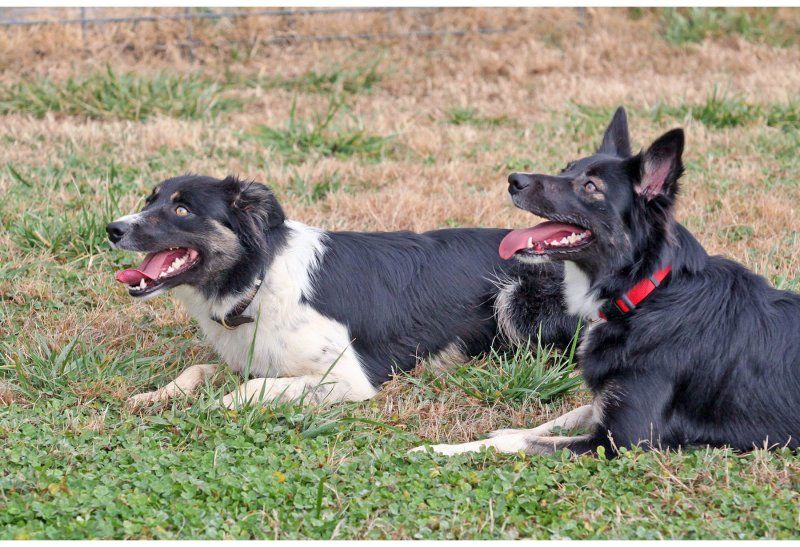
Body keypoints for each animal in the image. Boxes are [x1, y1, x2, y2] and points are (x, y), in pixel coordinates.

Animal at [109, 174, 580, 406]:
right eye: (150, 200)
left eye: (182, 210)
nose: (112, 228)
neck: (258, 279)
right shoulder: (251, 358)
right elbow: (197, 371)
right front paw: (154, 395)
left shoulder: (349, 378)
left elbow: (250, 390)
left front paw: (215, 406)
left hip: (515, 297)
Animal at [416, 107, 800, 458]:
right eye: (565, 169)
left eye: (590, 187)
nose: (514, 179)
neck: (643, 294)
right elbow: (574, 412)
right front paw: (510, 427)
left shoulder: (623, 440)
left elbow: (521, 443)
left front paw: (445, 449)